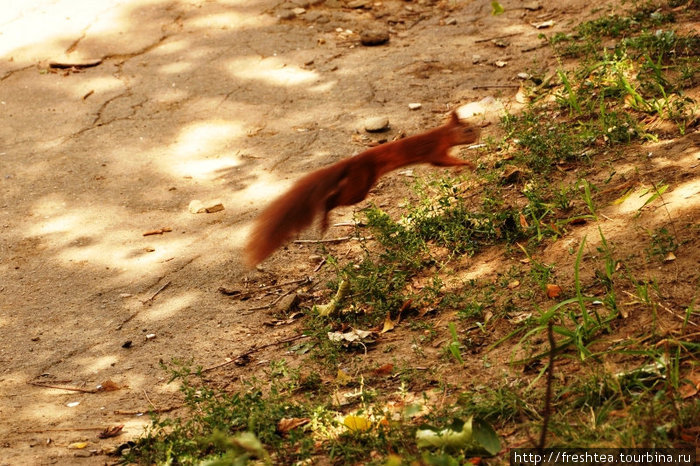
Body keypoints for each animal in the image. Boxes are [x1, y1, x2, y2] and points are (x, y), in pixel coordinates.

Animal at [246, 109, 482, 268]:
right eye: (468, 129)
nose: (478, 134)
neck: (443, 134)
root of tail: (352, 163)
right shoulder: (435, 151)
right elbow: (443, 161)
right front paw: (467, 164)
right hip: (359, 186)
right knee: (331, 200)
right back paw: (324, 221)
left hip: (359, 183)